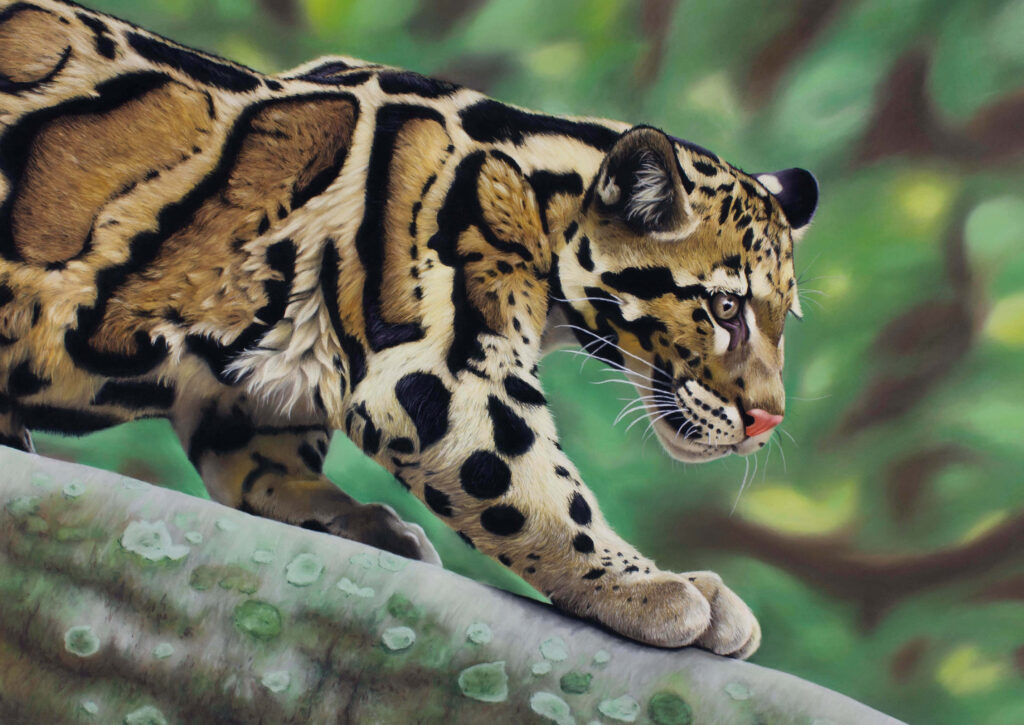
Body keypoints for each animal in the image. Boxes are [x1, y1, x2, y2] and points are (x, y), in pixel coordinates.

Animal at [0, 0, 817, 658]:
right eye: (725, 308)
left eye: (784, 318)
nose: (769, 419)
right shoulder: (439, 376)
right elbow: (537, 491)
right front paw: (652, 587)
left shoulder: (252, 382)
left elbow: (256, 459)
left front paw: (348, 516)